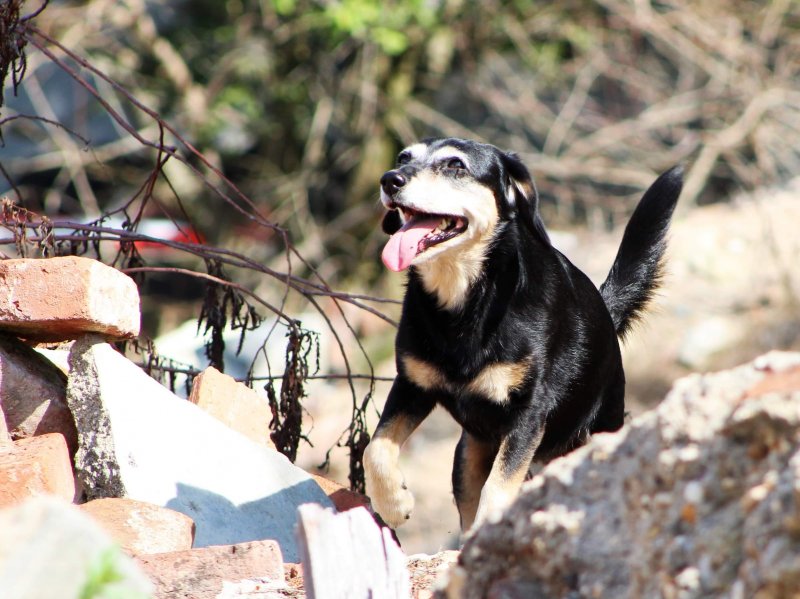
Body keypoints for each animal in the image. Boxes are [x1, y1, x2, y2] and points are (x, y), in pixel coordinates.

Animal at [362, 139, 680, 536]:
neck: (467, 299)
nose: (390, 179)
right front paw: (394, 504)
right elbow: (375, 448)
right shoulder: (412, 386)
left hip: (599, 427)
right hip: (468, 454)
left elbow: (499, 487)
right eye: (403, 157)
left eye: (455, 165)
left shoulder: (528, 411)